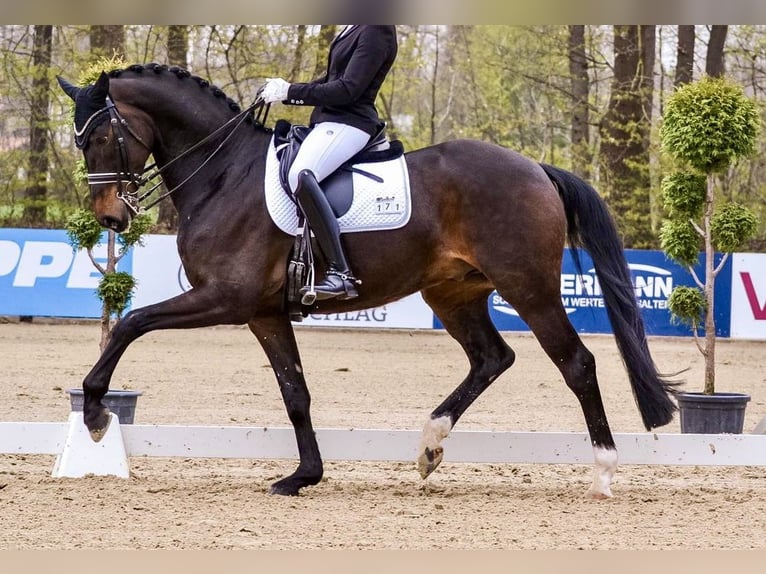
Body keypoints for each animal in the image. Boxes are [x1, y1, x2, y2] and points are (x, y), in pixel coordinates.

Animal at [57, 63, 680, 500]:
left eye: (100, 137)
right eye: (80, 140)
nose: (110, 219)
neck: (223, 173)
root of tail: (535, 168)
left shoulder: (225, 299)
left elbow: (132, 323)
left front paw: (95, 413)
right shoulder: (264, 312)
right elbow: (296, 393)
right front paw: (303, 476)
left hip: (527, 287)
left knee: (577, 364)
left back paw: (602, 472)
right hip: (452, 292)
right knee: (491, 358)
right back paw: (429, 446)